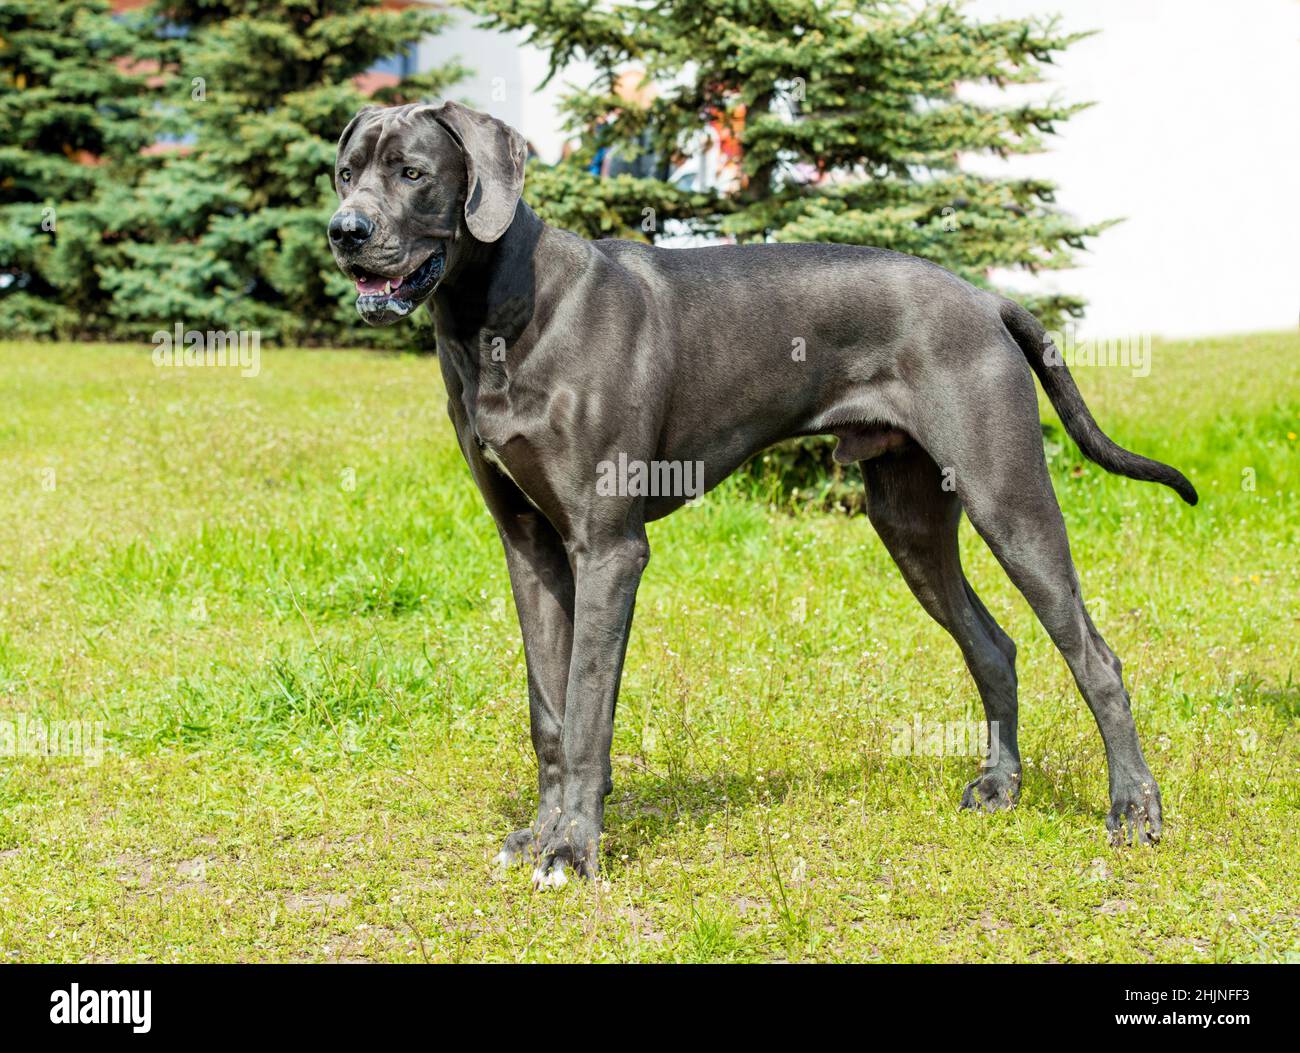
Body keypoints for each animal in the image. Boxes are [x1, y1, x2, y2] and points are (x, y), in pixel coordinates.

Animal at [327, 100, 1196, 883]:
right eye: (344, 173)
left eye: (411, 172)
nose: (344, 231)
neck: (500, 315)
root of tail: (985, 297)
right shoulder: (530, 547)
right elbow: (549, 710)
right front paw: (540, 835)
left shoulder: (608, 550)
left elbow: (585, 715)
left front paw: (573, 849)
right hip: (909, 521)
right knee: (993, 645)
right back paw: (1001, 786)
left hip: (1008, 499)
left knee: (1096, 657)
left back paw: (1133, 809)